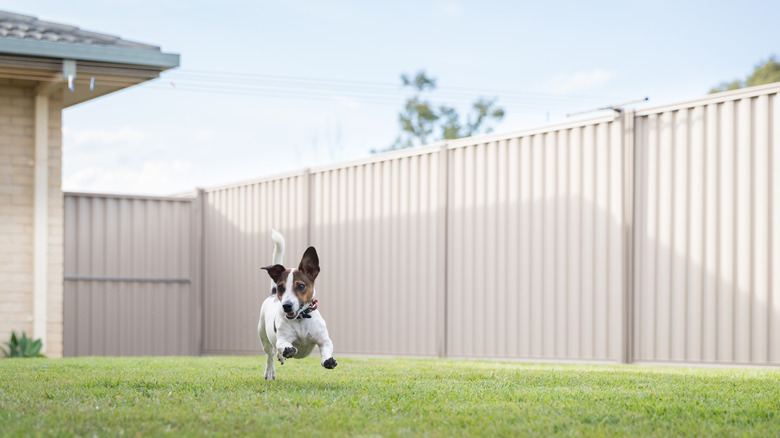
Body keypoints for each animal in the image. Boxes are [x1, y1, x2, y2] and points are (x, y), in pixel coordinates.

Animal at [258, 229, 336, 380]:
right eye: (281, 287)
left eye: (300, 286)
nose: (286, 305)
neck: (301, 318)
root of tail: (272, 294)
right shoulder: (282, 339)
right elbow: (283, 345)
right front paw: (287, 350)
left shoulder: (324, 339)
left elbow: (326, 348)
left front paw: (328, 360)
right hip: (263, 336)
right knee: (270, 354)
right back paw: (270, 371)